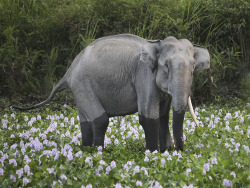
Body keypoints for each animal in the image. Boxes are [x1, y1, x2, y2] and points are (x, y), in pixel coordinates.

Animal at [12, 33, 210, 151]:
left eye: (194, 68)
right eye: (166, 66)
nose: (179, 150)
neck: (156, 44)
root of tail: (69, 71)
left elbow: (163, 115)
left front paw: (165, 152)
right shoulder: (143, 77)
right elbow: (148, 117)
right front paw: (153, 153)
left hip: (80, 86)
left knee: (86, 120)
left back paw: (86, 149)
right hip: (82, 83)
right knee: (100, 119)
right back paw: (99, 152)